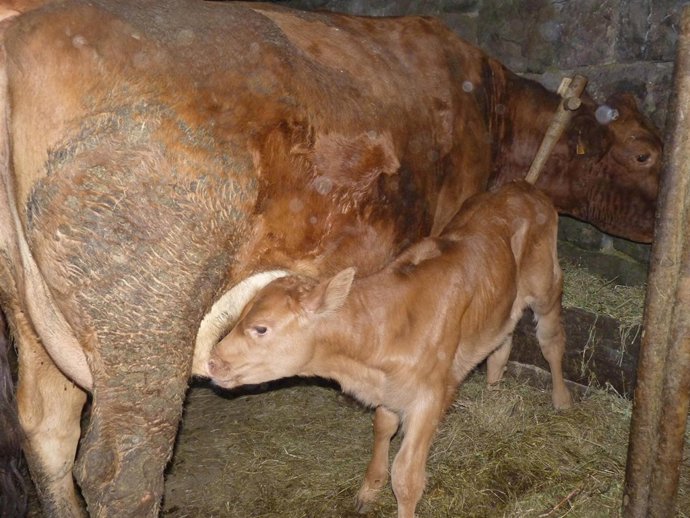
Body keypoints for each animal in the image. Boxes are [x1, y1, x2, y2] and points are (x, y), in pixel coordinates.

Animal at [207, 180, 573, 518]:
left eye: (261, 328)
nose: (213, 362)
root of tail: (523, 186)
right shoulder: (389, 389)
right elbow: (382, 427)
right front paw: (369, 489)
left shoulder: (429, 397)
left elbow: (407, 478)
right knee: (501, 341)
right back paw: (494, 393)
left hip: (546, 284)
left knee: (552, 340)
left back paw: (561, 400)